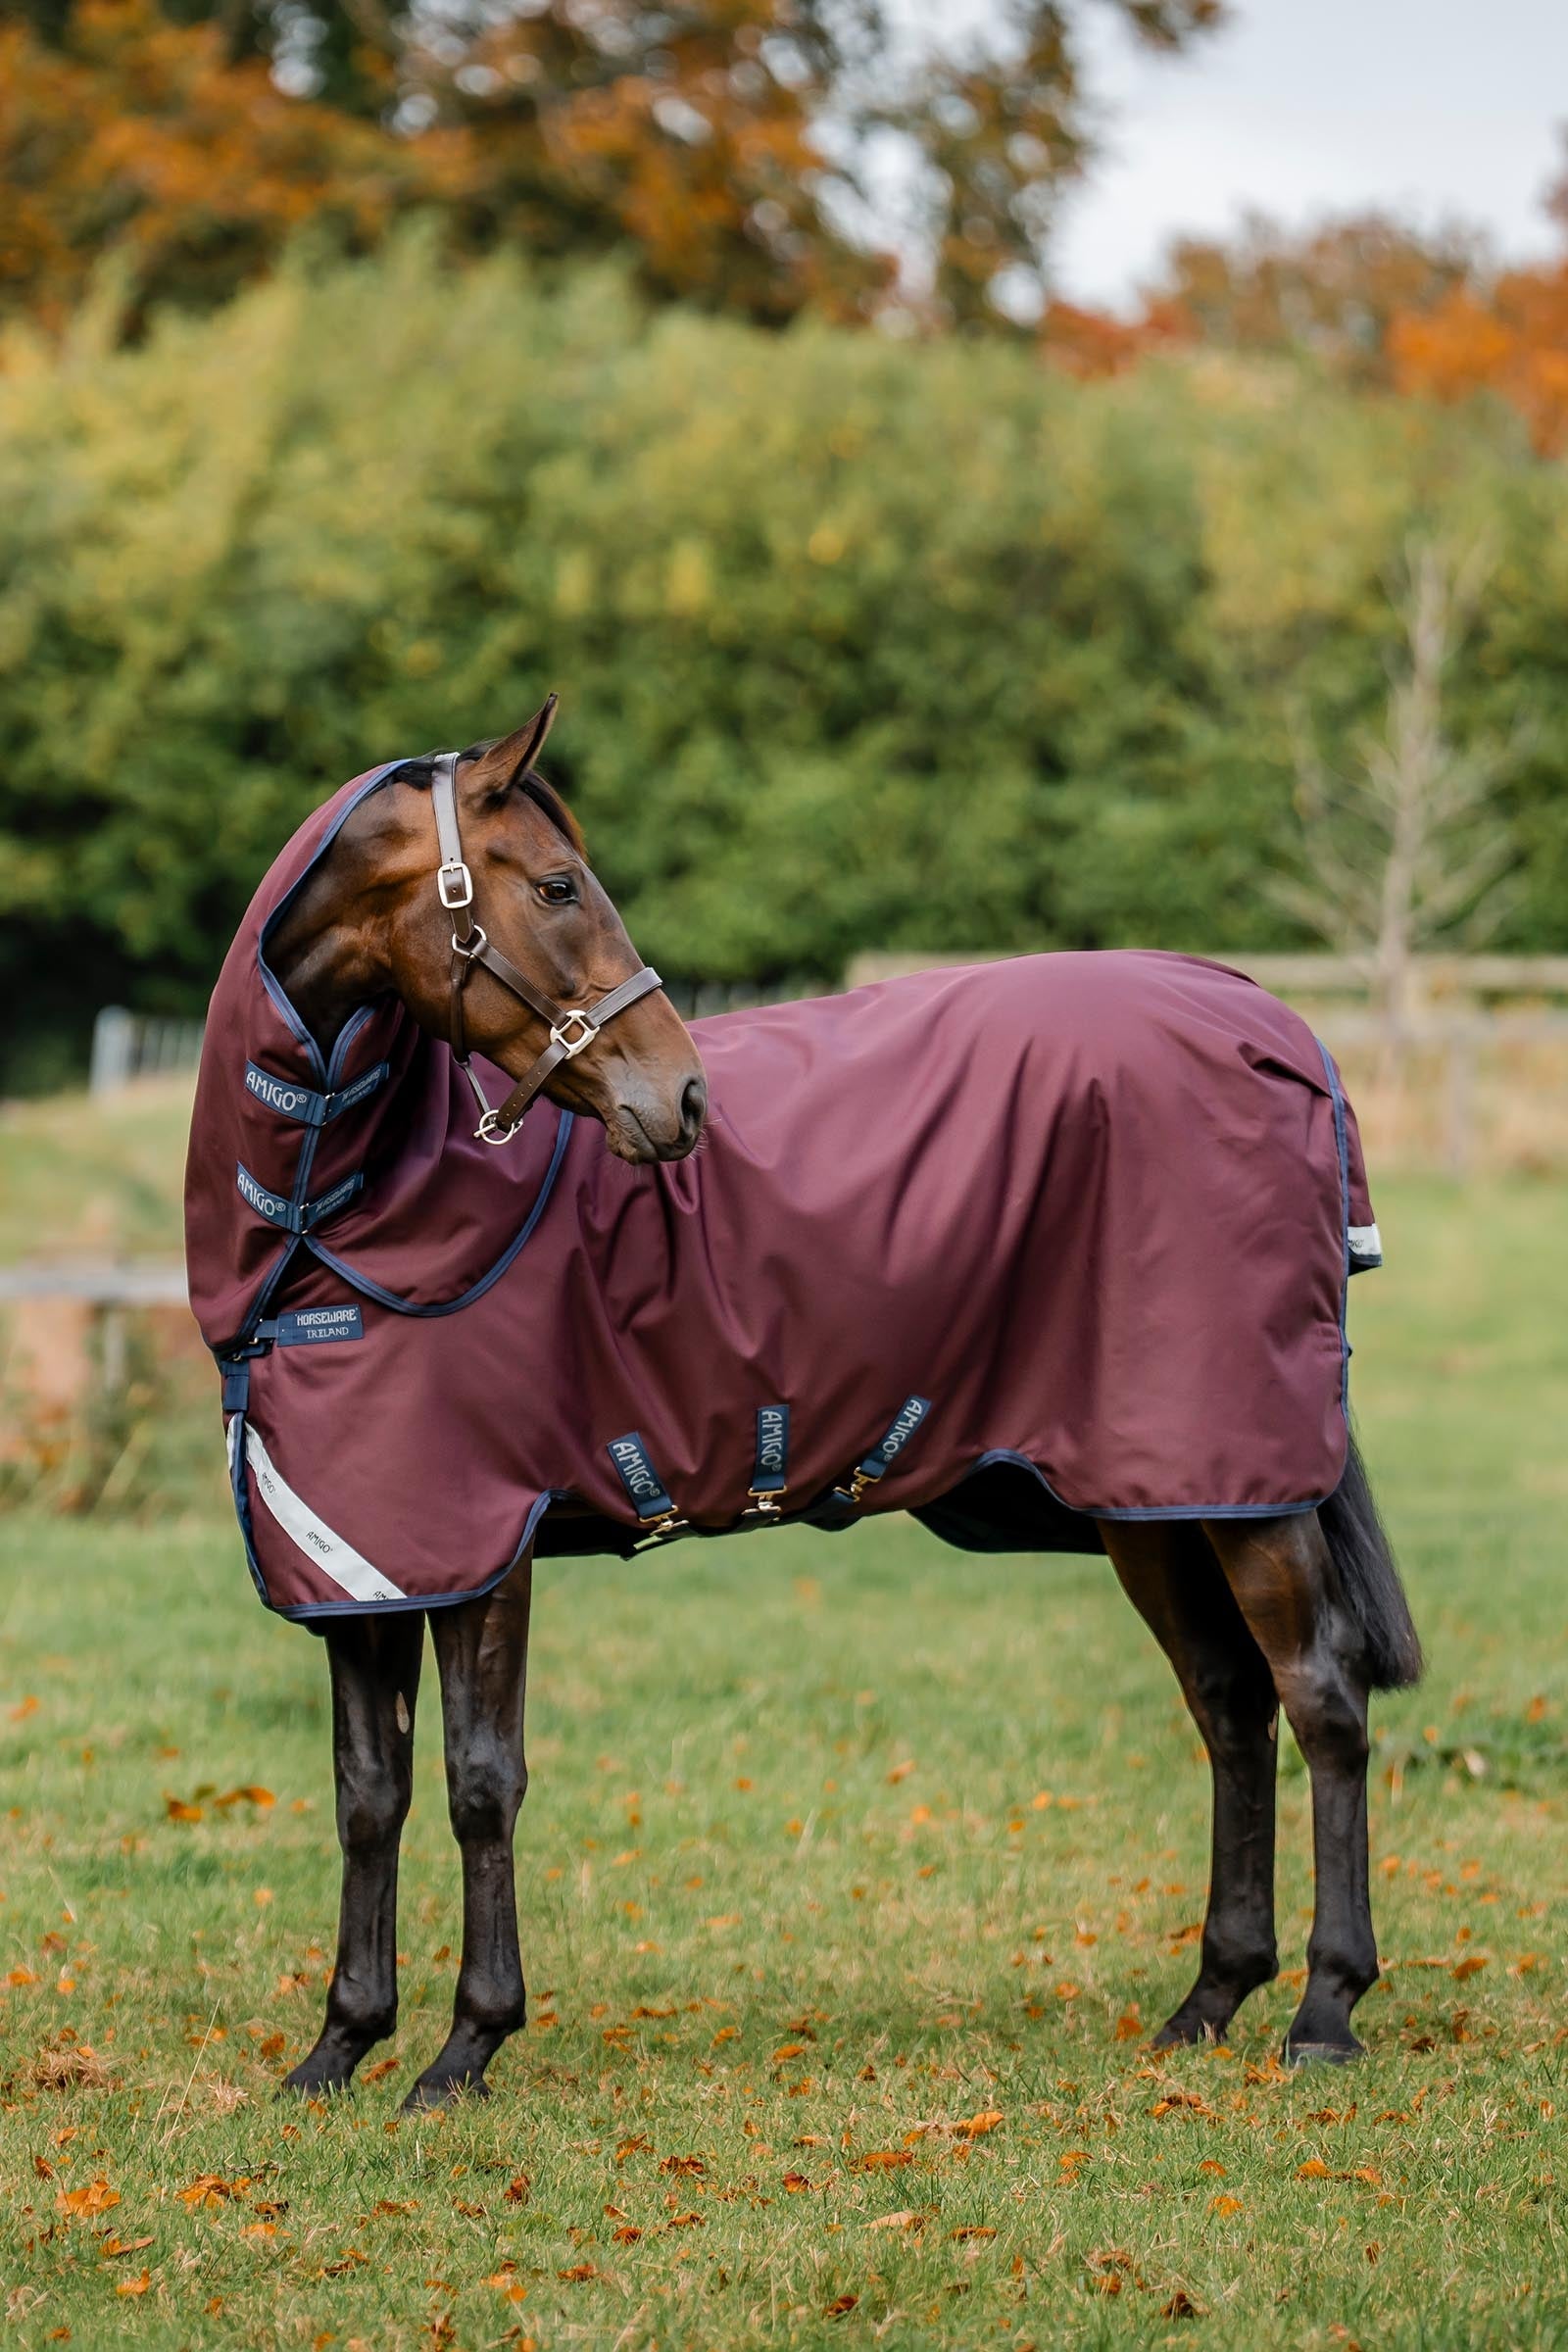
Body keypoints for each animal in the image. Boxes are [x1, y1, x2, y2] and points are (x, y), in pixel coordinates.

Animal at [183, 700, 1421, 2111]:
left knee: (1320, 1695)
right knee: (1228, 1701)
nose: (681, 1099)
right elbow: (368, 1792)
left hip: (1240, 1487)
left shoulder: (479, 1545)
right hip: (1154, 1496)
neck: (333, 1222)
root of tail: (1271, 1021)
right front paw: (339, 2045)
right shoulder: (365, 1559)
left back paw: (1324, 2008)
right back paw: (1210, 1998)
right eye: (556, 886)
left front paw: (463, 2049)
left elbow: (479, 1783)